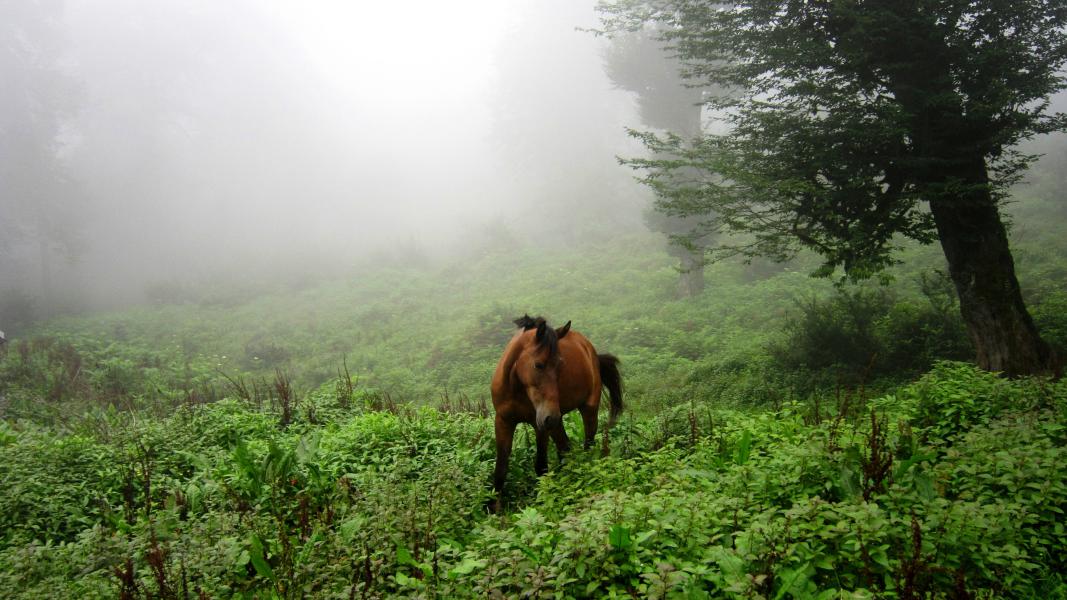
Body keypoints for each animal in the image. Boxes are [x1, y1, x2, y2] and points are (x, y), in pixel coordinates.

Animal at [488, 313, 623, 503]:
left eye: (560, 365)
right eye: (538, 365)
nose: (550, 417)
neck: (517, 386)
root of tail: (591, 350)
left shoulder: (539, 425)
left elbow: (541, 467)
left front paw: (544, 497)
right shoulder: (503, 421)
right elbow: (500, 471)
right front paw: (493, 507)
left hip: (585, 409)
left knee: (588, 442)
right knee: (565, 448)